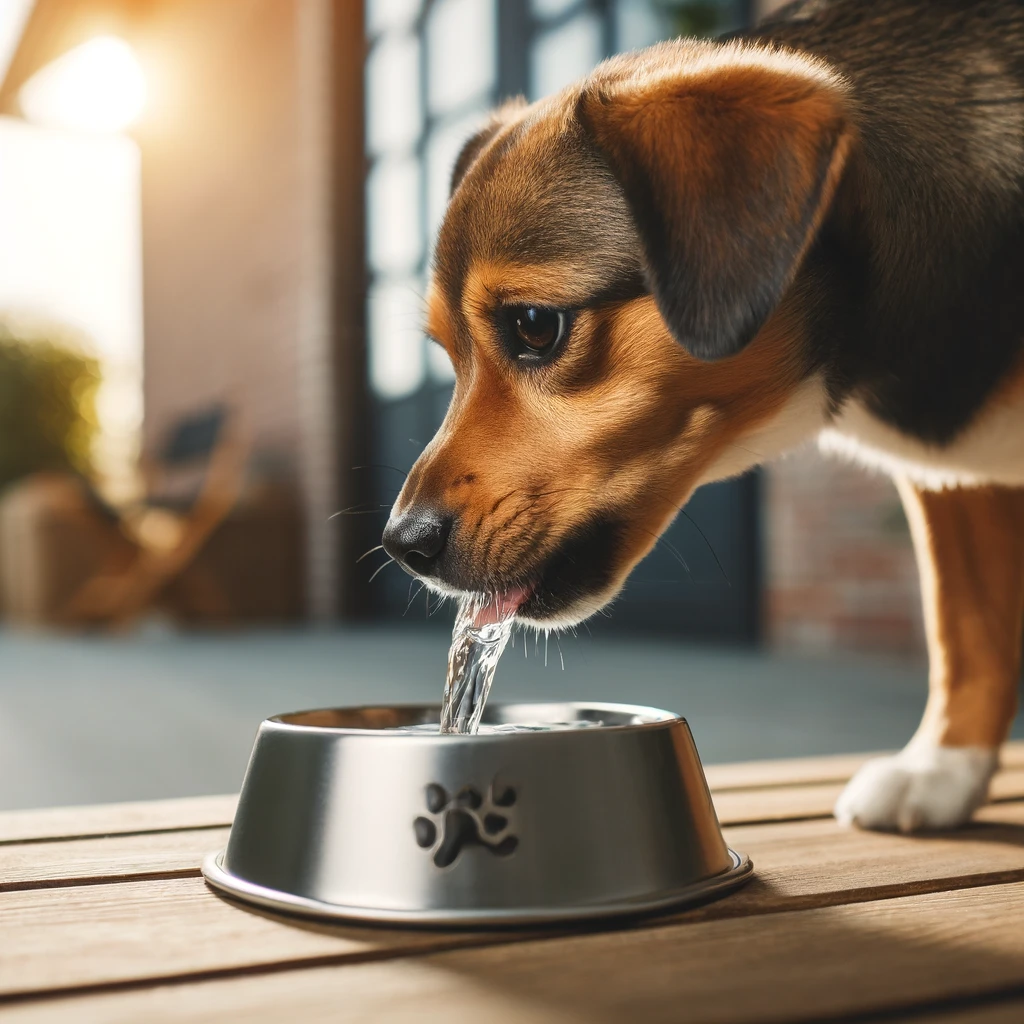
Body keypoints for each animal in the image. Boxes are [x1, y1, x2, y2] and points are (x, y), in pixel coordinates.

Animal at [378, 0, 1024, 831]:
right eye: (445, 352)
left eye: (534, 326)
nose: (403, 545)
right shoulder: (945, 487)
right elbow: (964, 621)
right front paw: (942, 766)